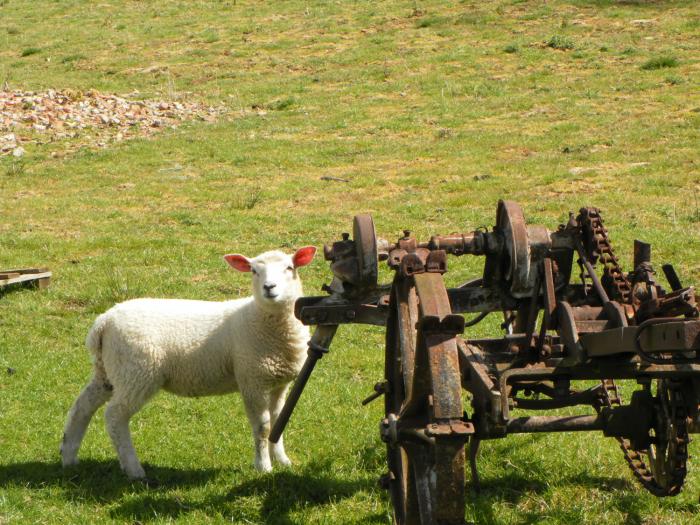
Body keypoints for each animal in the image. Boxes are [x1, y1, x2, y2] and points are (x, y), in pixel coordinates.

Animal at [60, 246, 318, 478]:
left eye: (289, 268)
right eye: (254, 271)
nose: (269, 288)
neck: (262, 320)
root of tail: (104, 321)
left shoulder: (279, 382)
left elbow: (278, 421)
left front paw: (283, 460)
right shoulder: (252, 379)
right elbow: (263, 428)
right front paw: (263, 466)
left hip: (109, 371)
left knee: (82, 407)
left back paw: (68, 456)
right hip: (137, 373)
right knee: (115, 417)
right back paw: (134, 470)